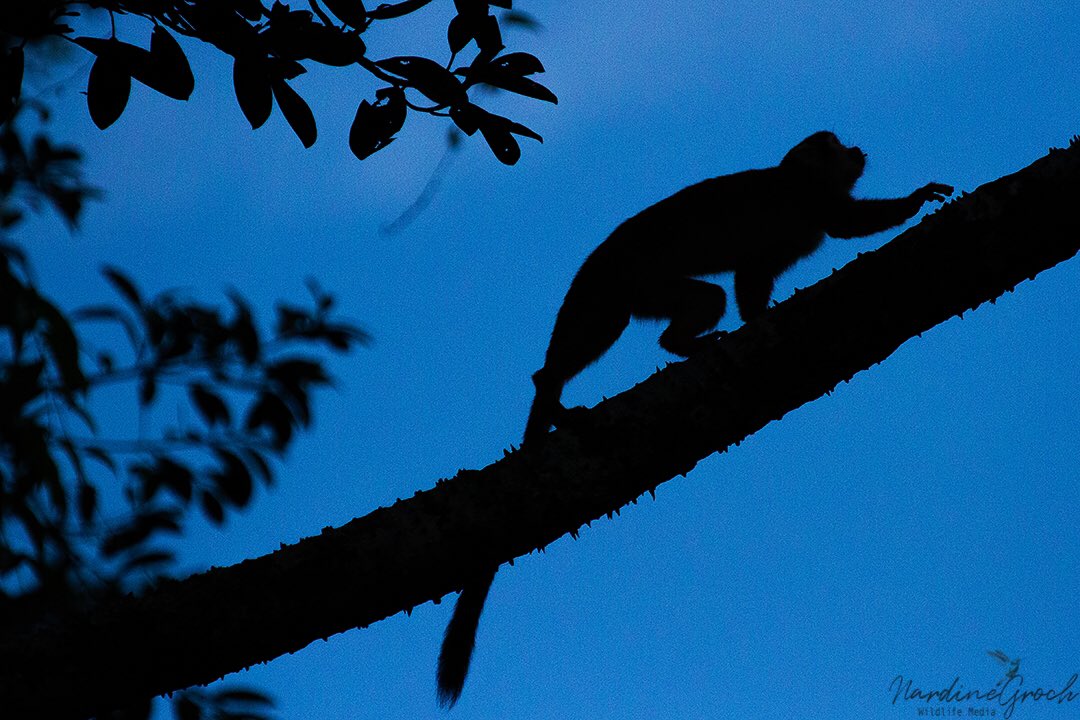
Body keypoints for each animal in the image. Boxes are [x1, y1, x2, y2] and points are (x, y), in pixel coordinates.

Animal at [435, 131, 952, 707]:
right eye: (837, 148)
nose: (857, 150)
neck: (797, 179)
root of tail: (596, 259)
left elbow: (752, 275)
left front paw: (756, 319)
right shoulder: (809, 202)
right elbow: (828, 233)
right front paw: (915, 200)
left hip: (640, 289)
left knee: (700, 298)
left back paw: (673, 346)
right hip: (622, 279)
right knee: (606, 323)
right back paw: (552, 392)